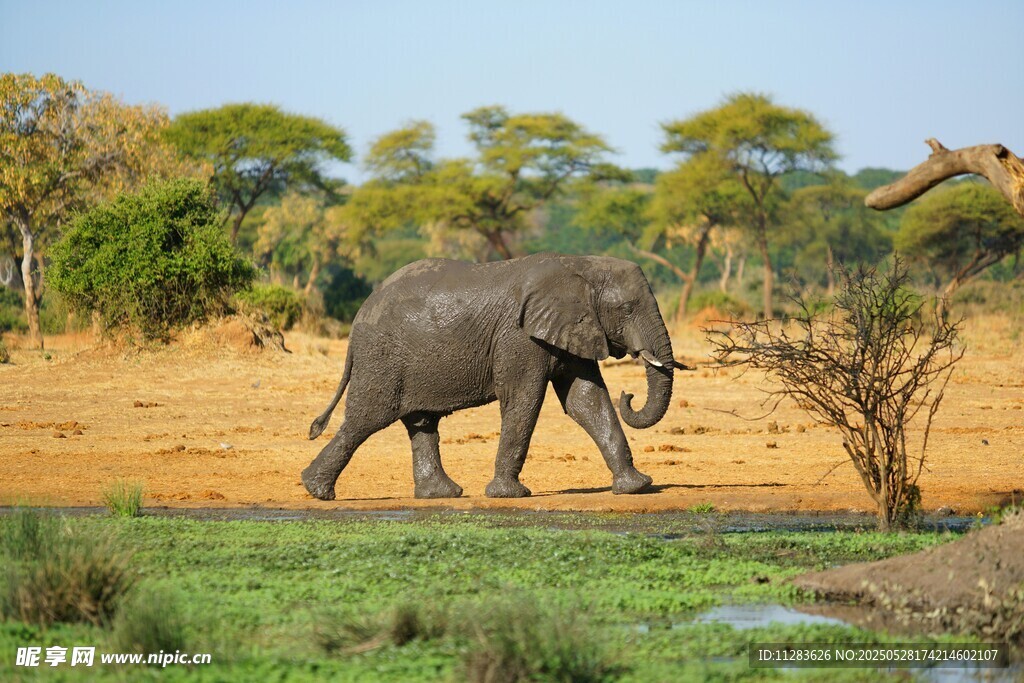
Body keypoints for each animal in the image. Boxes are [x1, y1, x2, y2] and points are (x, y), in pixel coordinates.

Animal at [301, 253, 687, 501]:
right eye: (627, 309)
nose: (630, 395)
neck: (582, 265)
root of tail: (359, 316)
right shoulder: (519, 338)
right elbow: (524, 401)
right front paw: (510, 495)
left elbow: (587, 401)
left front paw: (637, 487)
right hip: (382, 359)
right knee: (366, 419)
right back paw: (317, 491)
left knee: (421, 423)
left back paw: (441, 495)